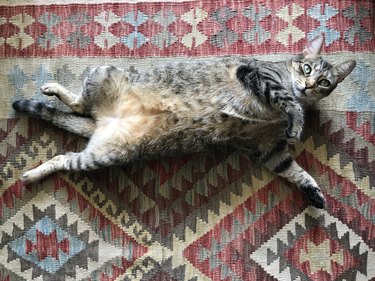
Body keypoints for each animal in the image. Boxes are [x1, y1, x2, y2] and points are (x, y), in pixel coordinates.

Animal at [13, 35, 356, 208]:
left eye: (325, 82)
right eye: (307, 68)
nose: (309, 86)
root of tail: (103, 121)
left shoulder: (267, 148)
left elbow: (294, 171)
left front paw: (313, 192)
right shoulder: (254, 75)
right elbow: (286, 100)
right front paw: (296, 119)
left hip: (103, 155)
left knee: (65, 155)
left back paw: (34, 172)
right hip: (103, 72)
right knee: (77, 104)